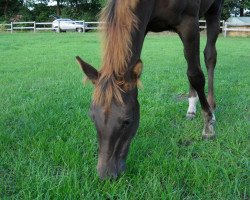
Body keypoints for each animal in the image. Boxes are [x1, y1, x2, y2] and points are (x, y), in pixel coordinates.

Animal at [76, 0, 225, 178]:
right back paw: (191, 108)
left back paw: (211, 108)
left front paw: (208, 125)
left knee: (209, 57)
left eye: (127, 121)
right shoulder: (144, 24)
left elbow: (195, 75)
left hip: (213, 11)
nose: (106, 175)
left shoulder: (189, 22)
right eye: (92, 117)